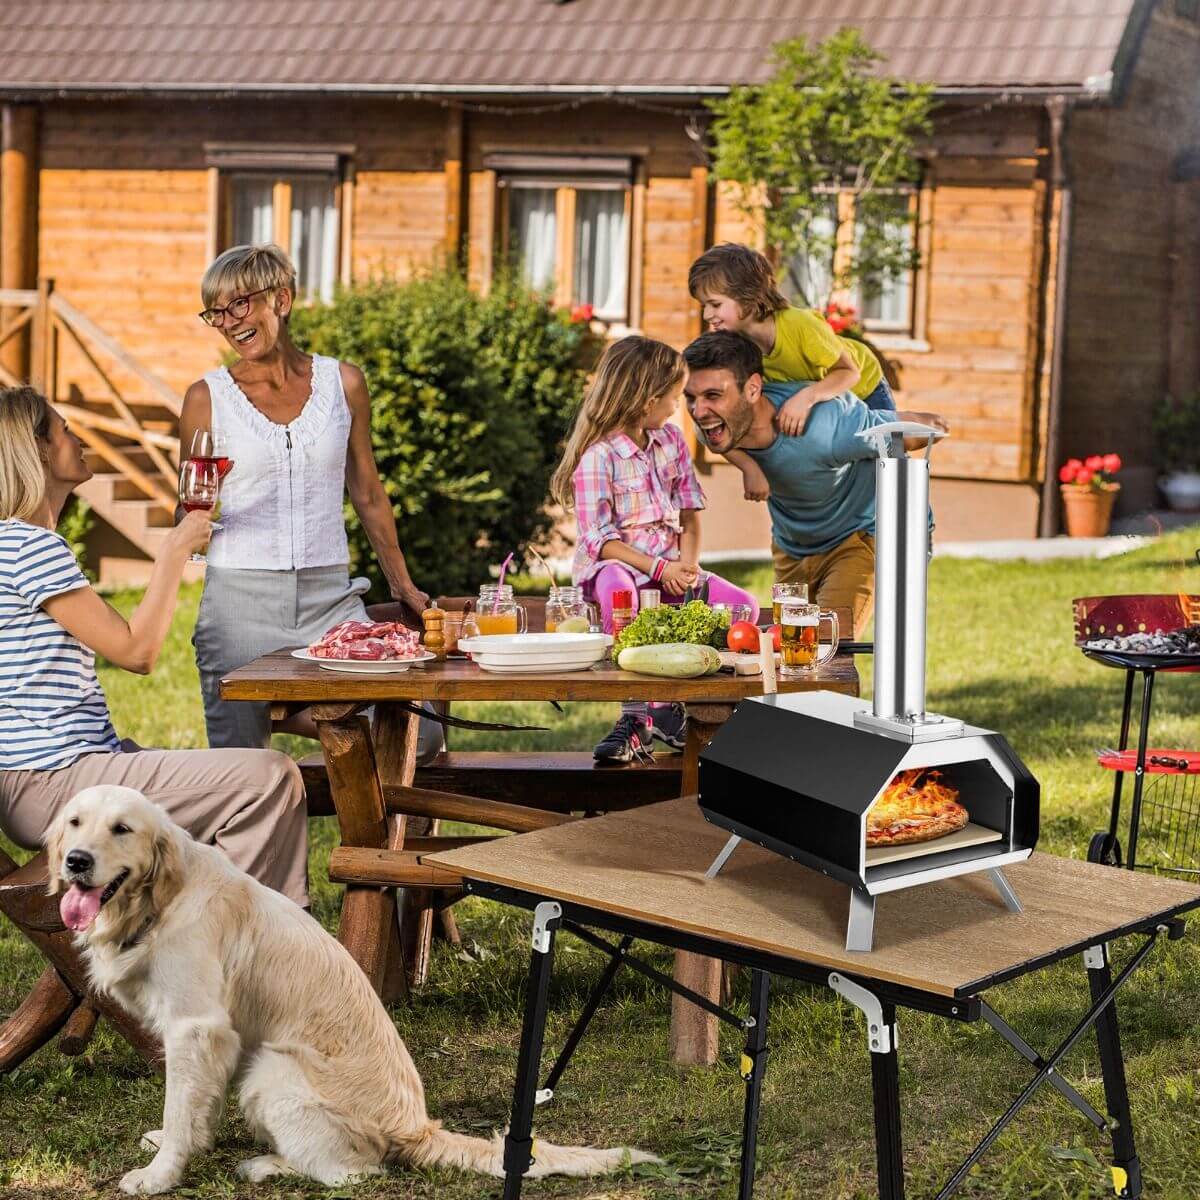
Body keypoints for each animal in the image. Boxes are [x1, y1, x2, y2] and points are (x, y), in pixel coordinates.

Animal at [46, 787, 657, 1190]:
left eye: (122, 829)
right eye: (75, 823)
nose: (76, 861)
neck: (157, 901)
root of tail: (418, 1128)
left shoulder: (195, 1027)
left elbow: (180, 1107)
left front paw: (159, 1175)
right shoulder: (210, 1040)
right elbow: (194, 1105)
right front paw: (186, 1144)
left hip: (272, 1071)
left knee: (353, 1173)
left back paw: (267, 1166)